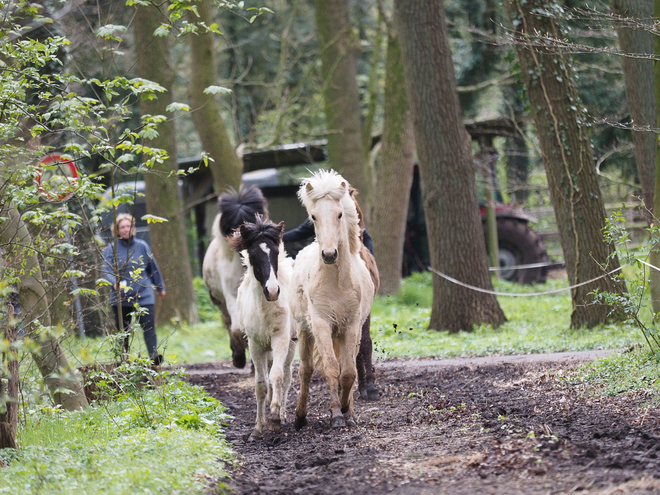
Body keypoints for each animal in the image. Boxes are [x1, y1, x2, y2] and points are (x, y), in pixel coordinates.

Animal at [201, 186, 268, 368]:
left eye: (255, 220)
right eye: (232, 227)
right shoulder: (231, 295)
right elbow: (237, 328)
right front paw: (239, 355)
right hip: (222, 302)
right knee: (229, 323)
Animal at [229, 217, 296, 438]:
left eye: (275, 253)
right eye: (253, 255)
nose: (273, 291)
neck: (264, 310)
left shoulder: (281, 339)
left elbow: (277, 376)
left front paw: (275, 417)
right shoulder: (255, 345)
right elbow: (260, 384)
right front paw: (258, 427)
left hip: (292, 344)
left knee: (286, 376)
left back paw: (282, 414)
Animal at [290, 169, 376, 428]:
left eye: (339, 214)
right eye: (313, 217)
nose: (329, 254)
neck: (336, 282)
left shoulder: (351, 326)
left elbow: (348, 372)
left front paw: (347, 410)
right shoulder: (321, 325)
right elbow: (330, 368)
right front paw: (336, 414)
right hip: (305, 331)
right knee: (306, 370)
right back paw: (300, 416)